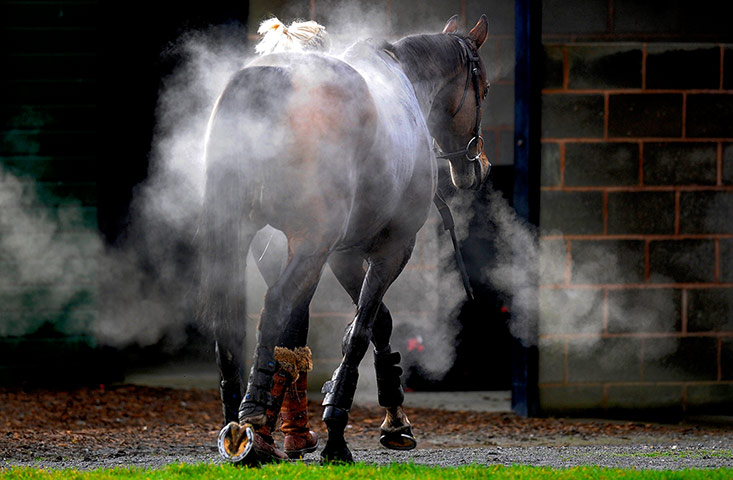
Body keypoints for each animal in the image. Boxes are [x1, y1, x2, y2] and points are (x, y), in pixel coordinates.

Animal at [199, 14, 491, 464]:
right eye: (484, 89)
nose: (478, 169)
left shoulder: (345, 255)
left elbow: (378, 323)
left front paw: (395, 418)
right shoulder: (393, 247)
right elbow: (359, 333)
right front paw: (337, 433)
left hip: (241, 237)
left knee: (233, 322)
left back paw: (241, 424)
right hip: (310, 244)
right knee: (275, 307)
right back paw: (253, 421)